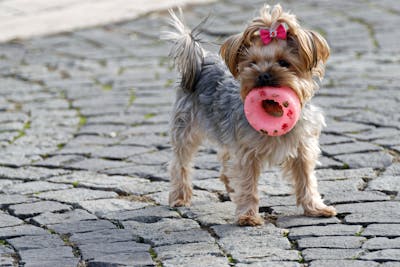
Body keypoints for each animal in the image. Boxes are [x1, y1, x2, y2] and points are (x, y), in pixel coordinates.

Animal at [163, 4, 338, 226]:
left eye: (284, 62)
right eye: (252, 63)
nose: (263, 75)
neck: (273, 110)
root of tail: (202, 60)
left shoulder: (302, 147)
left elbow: (306, 179)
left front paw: (316, 208)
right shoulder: (247, 152)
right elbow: (248, 183)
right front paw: (248, 216)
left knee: (225, 156)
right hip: (185, 126)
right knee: (181, 162)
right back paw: (180, 196)